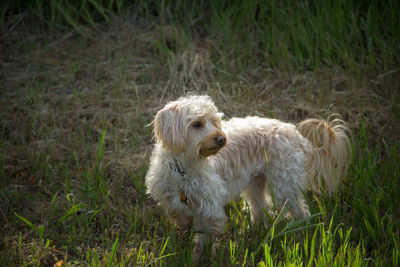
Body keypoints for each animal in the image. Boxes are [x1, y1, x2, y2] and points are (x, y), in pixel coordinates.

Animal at [145, 95, 352, 258]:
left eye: (215, 122)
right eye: (196, 124)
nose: (222, 139)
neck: (184, 168)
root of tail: (296, 134)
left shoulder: (210, 208)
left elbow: (204, 237)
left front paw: (198, 256)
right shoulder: (169, 197)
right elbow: (177, 214)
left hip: (284, 187)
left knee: (301, 212)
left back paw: (300, 235)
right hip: (255, 185)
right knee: (261, 208)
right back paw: (251, 233)